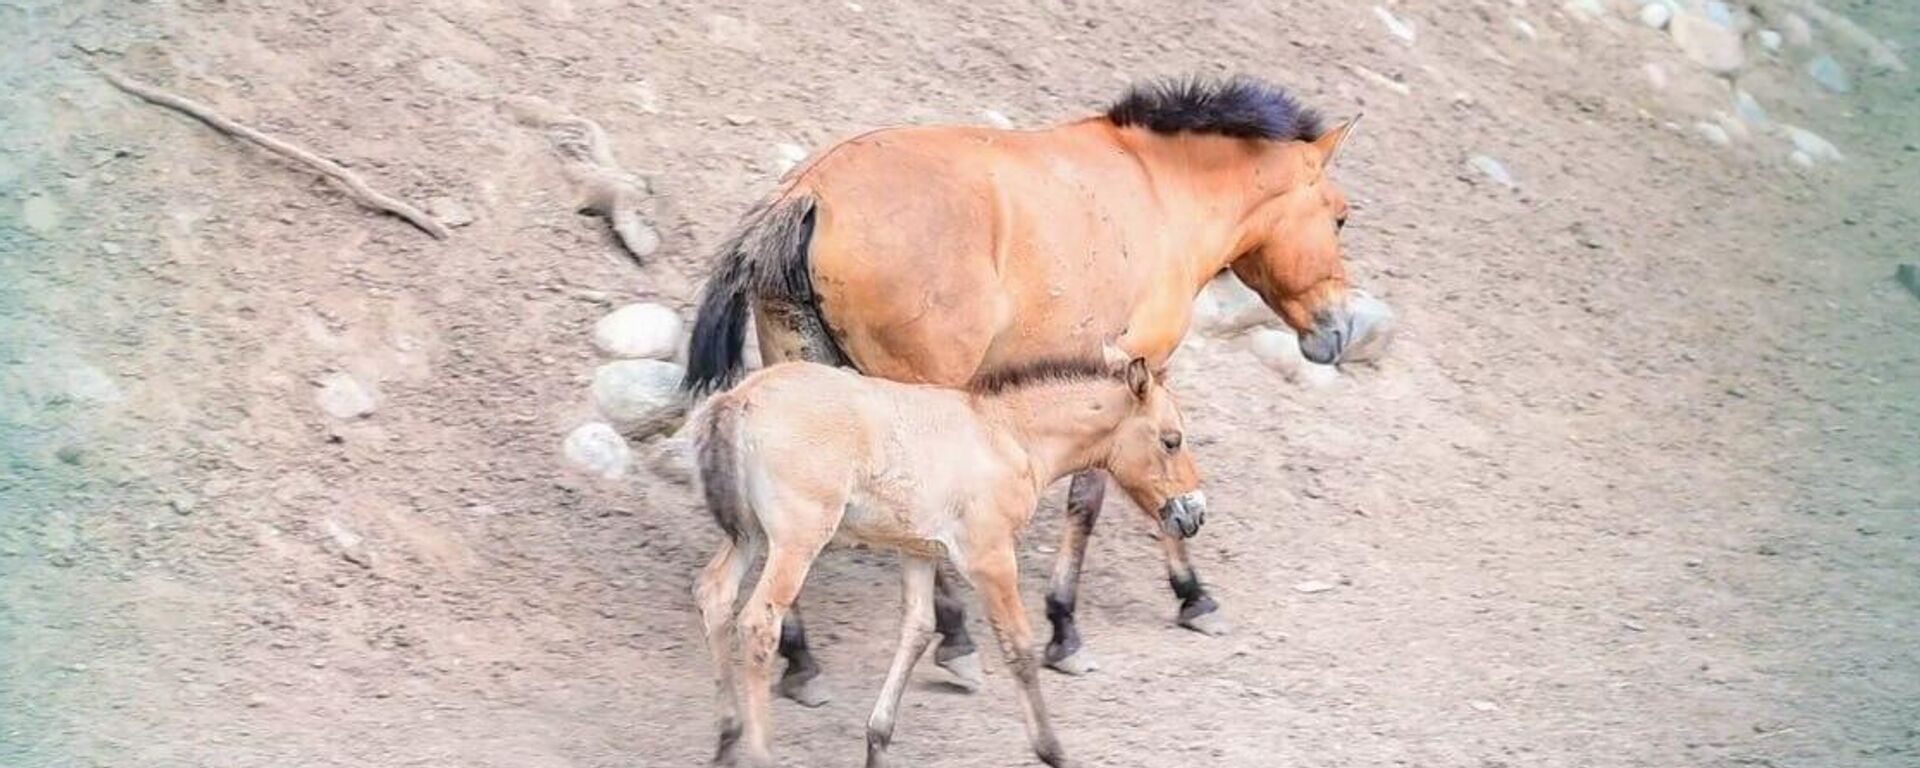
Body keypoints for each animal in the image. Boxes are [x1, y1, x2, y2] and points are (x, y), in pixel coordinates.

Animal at [682, 75, 1388, 696]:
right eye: (1341, 218)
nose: (1341, 330)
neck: (1161, 191)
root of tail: (811, 191)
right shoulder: (1140, 370)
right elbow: (1105, 496)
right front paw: (1109, 617)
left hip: (805, 371)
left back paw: (803, 661)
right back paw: (956, 643)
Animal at [693, 356, 1205, 768]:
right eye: (1171, 440)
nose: (1195, 513)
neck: (1008, 435)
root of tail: (740, 398)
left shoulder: (919, 551)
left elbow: (917, 631)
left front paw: (877, 743)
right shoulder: (990, 557)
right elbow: (1019, 648)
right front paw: (1053, 750)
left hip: (750, 536)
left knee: (714, 594)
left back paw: (727, 741)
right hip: (797, 540)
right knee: (758, 622)